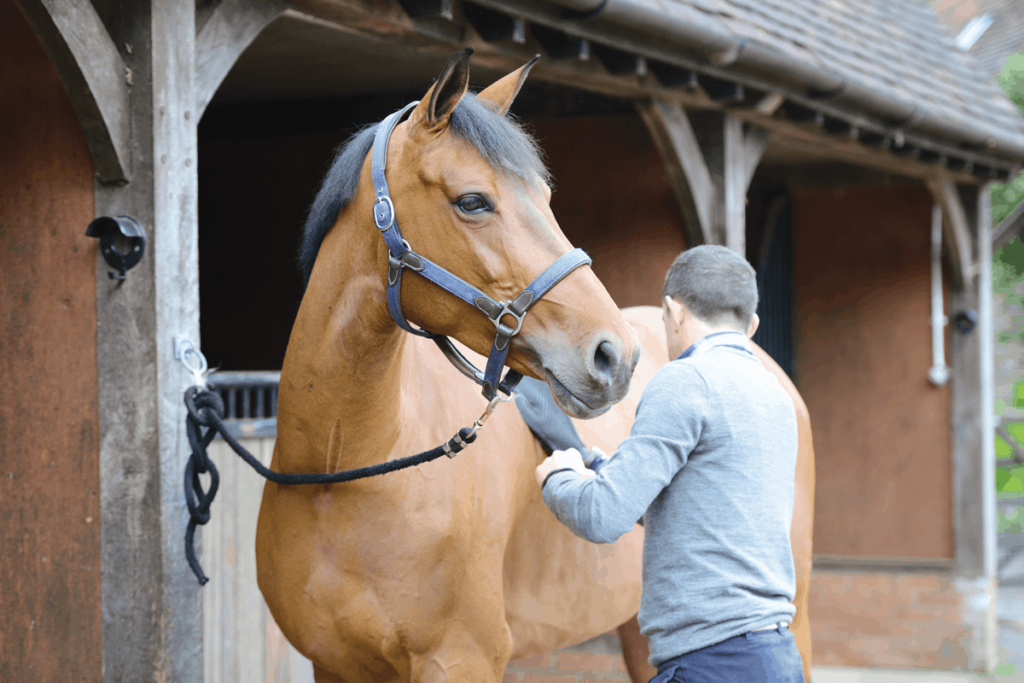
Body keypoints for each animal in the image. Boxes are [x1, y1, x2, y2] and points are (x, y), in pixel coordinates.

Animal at [256, 49, 815, 683]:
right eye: (472, 201)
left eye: (546, 197)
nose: (615, 355)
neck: (343, 473)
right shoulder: (336, 666)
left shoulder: (461, 658)